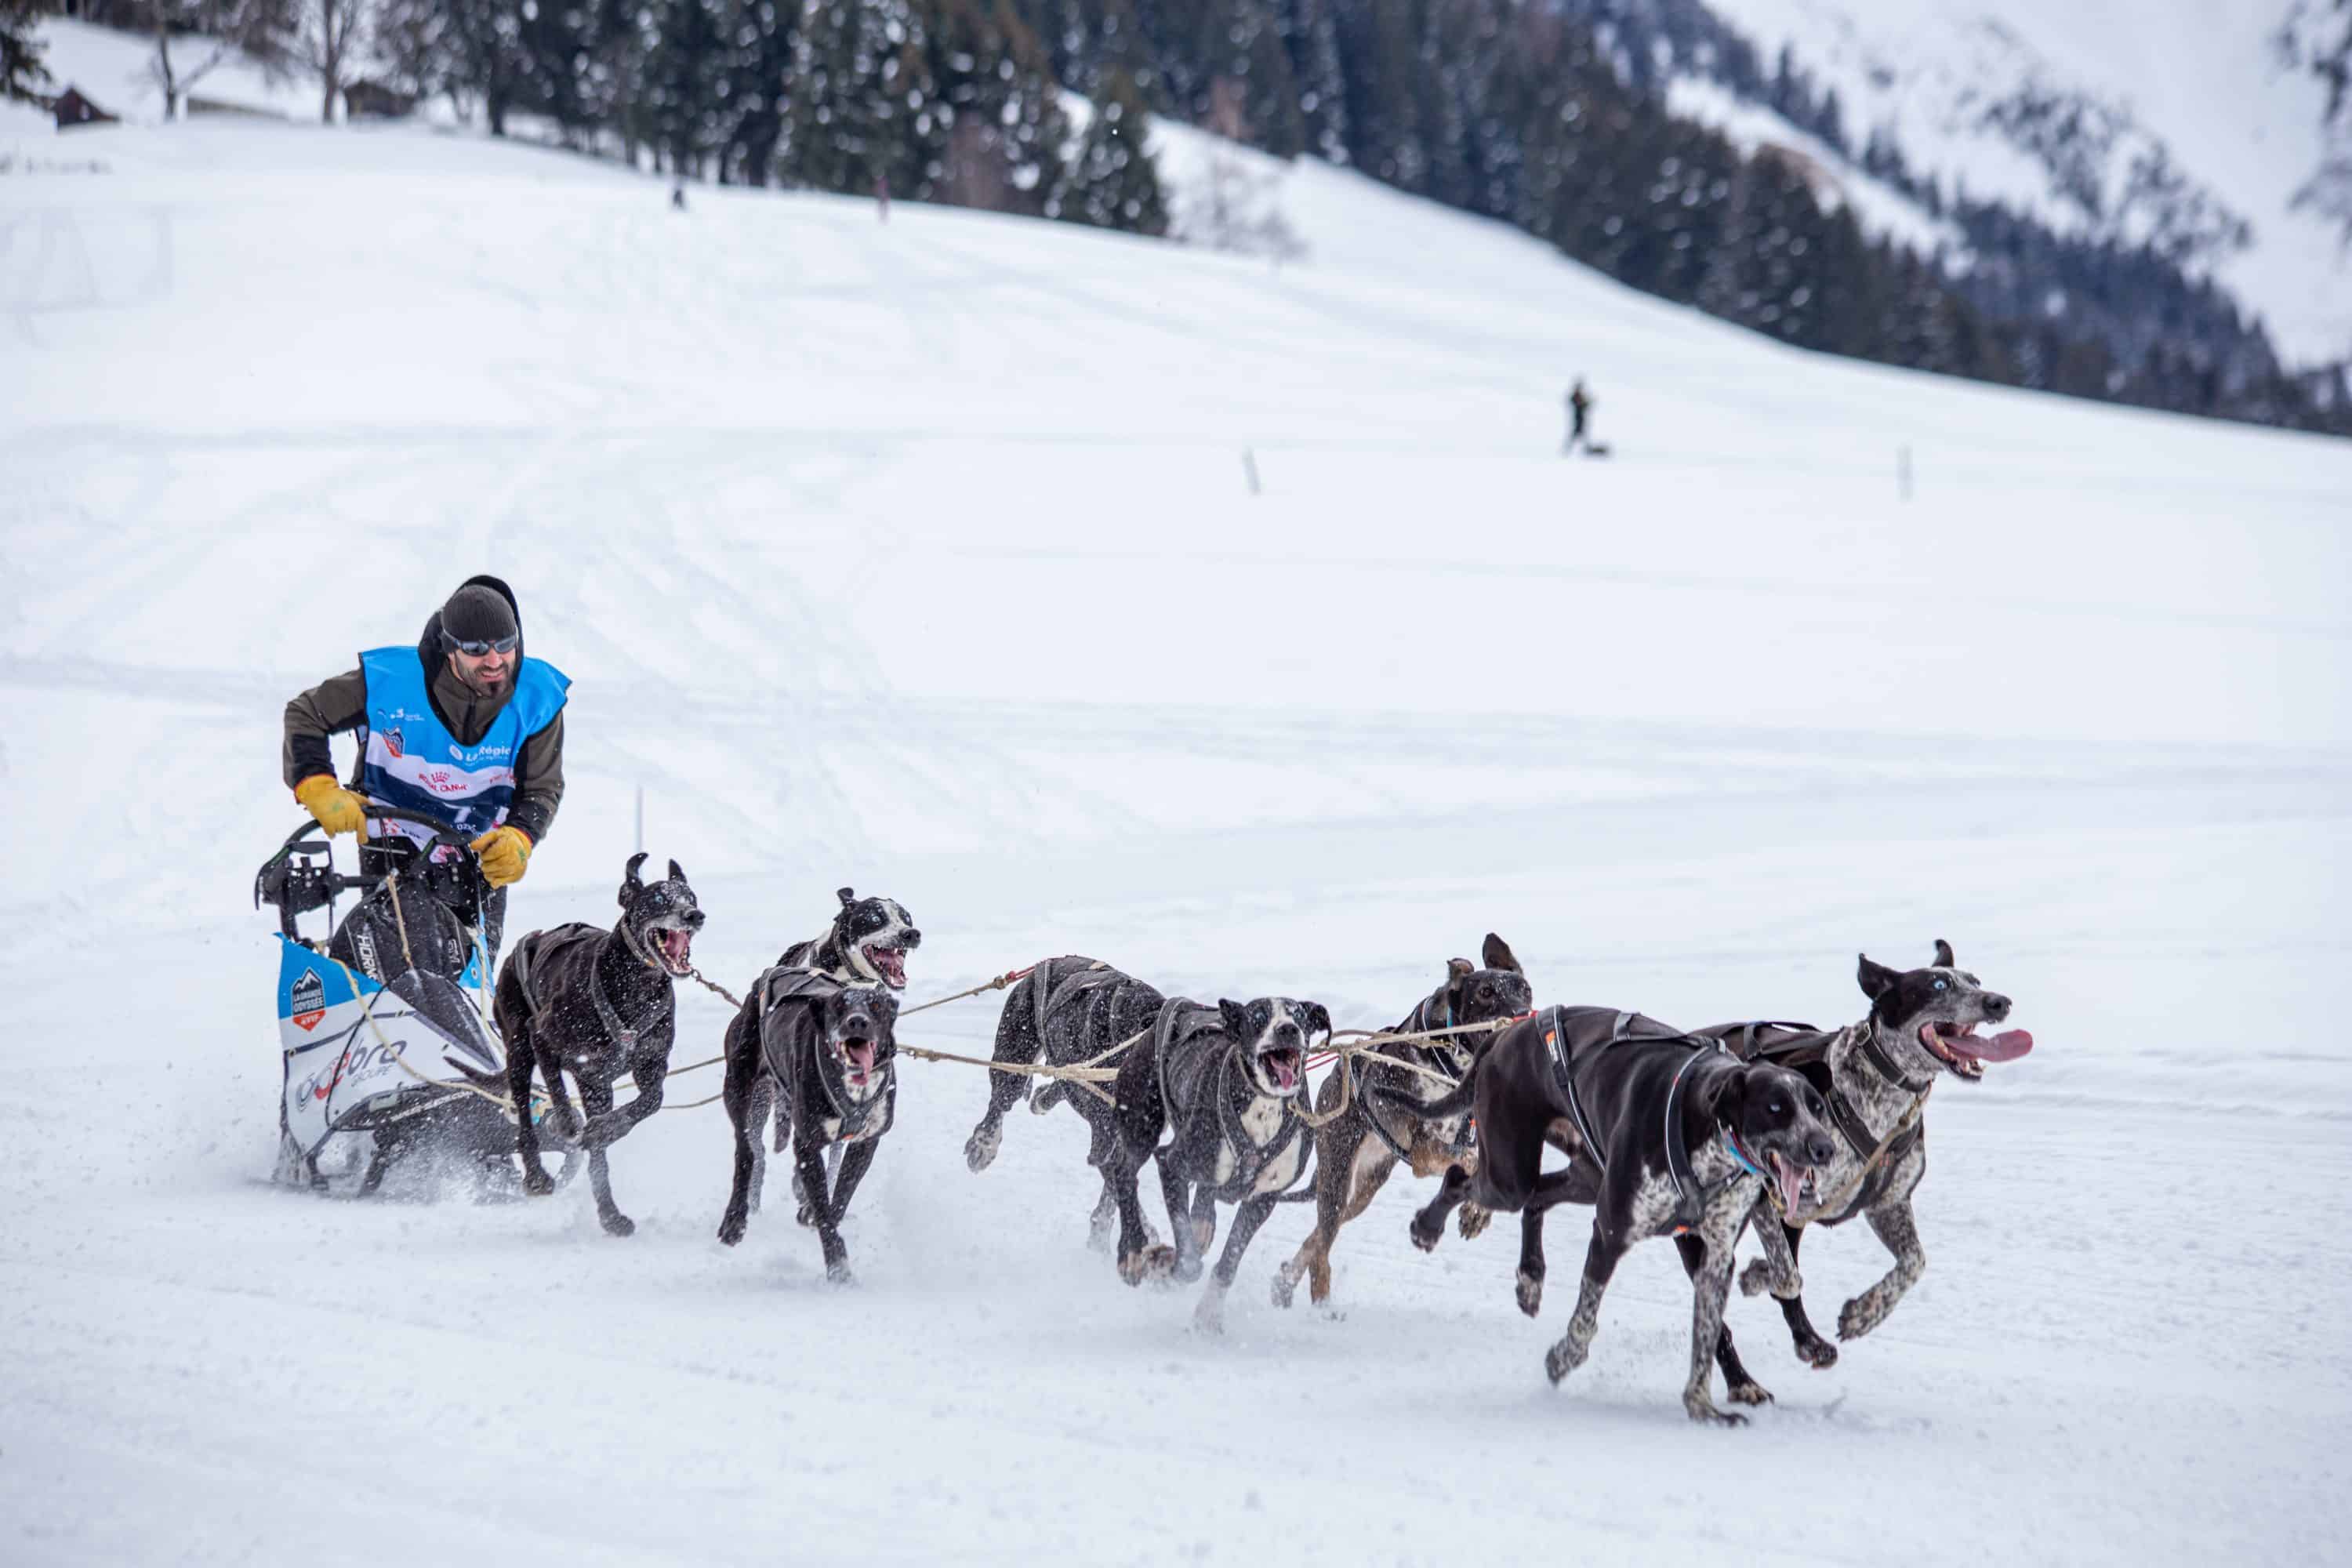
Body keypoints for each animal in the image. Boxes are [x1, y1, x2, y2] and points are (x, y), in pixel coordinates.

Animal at [496, 860, 706, 1241]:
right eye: (657, 898)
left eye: (691, 897)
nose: (694, 915)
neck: (633, 985)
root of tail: (531, 939)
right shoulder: (542, 1037)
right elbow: (558, 1092)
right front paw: (566, 1124)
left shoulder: (650, 1065)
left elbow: (651, 1100)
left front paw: (608, 1129)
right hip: (519, 1048)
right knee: (524, 1113)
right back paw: (537, 1177)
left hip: (597, 1088)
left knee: (598, 1159)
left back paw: (610, 1214)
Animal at [715, 968, 898, 1288]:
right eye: (839, 1005)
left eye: (876, 1006)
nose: (857, 1022)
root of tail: (765, 976)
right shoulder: (807, 1145)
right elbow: (824, 1208)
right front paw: (837, 1266)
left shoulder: (866, 1142)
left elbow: (841, 1195)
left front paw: (813, 1214)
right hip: (738, 1089)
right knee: (746, 1152)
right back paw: (734, 1221)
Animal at [1279, 940, 1534, 1316]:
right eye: (1486, 992)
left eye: (1525, 990)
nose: (1520, 1014)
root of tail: (1332, 1079)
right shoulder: (1425, 1153)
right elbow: (1469, 1160)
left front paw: (1475, 1213)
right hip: (1338, 1179)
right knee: (1323, 1246)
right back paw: (1321, 1305)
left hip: (1363, 1190)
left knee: (1318, 1238)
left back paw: (1283, 1282)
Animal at [1392, 1011, 1835, 1429]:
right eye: (1776, 1108)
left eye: (1817, 1108)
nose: (1825, 1148)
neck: (1702, 1123)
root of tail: (1509, 1031)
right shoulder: (1611, 1233)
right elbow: (1585, 1322)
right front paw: (1561, 1360)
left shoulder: (1716, 1256)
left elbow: (1712, 1329)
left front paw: (1702, 1407)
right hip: (1509, 1175)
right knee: (1461, 1179)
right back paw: (1427, 1227)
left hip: (1587, 1175)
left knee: (1537, 1198)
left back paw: (1530, 1276)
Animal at [1703, 945, 2032, 1373]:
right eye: (1938, 984)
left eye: (1975, 981)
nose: (1998, 1002)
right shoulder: (1769, 1198)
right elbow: (1788, 1275)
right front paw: (1768, 1281)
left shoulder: (1888, 1204)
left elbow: (1914, 1262)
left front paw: (1864, 1313)